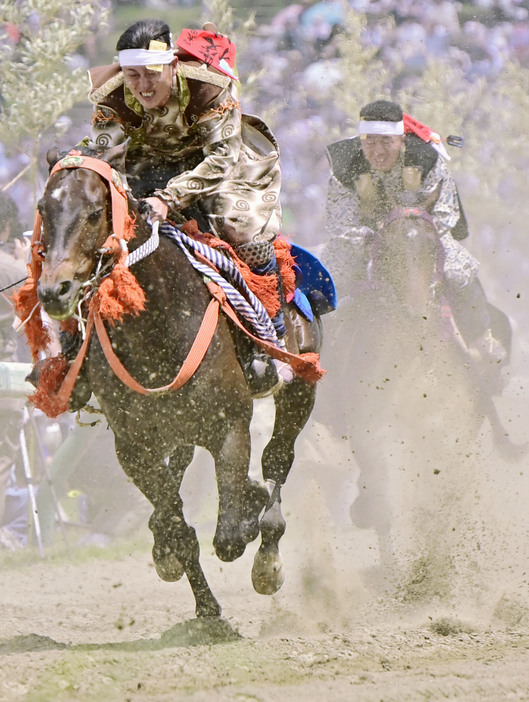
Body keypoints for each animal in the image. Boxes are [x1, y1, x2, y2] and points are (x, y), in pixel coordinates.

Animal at [23, 143, 322, 620]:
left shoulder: (230, 426)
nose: (55, 290)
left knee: (277, 461)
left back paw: (268, 556)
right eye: (43, 208)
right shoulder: (133, 447)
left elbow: (229, 536)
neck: (157, 327)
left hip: (299, 390)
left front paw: (247, 519)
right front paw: (204, 605)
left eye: (94, 211)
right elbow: (176, 524)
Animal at [318, 206, 512, 604]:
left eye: (429, 248)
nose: (414, 311)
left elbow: (440, 494)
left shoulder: (448, 430)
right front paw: (396, 572)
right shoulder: (371, 432)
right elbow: (382, 499)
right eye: (390, 250)